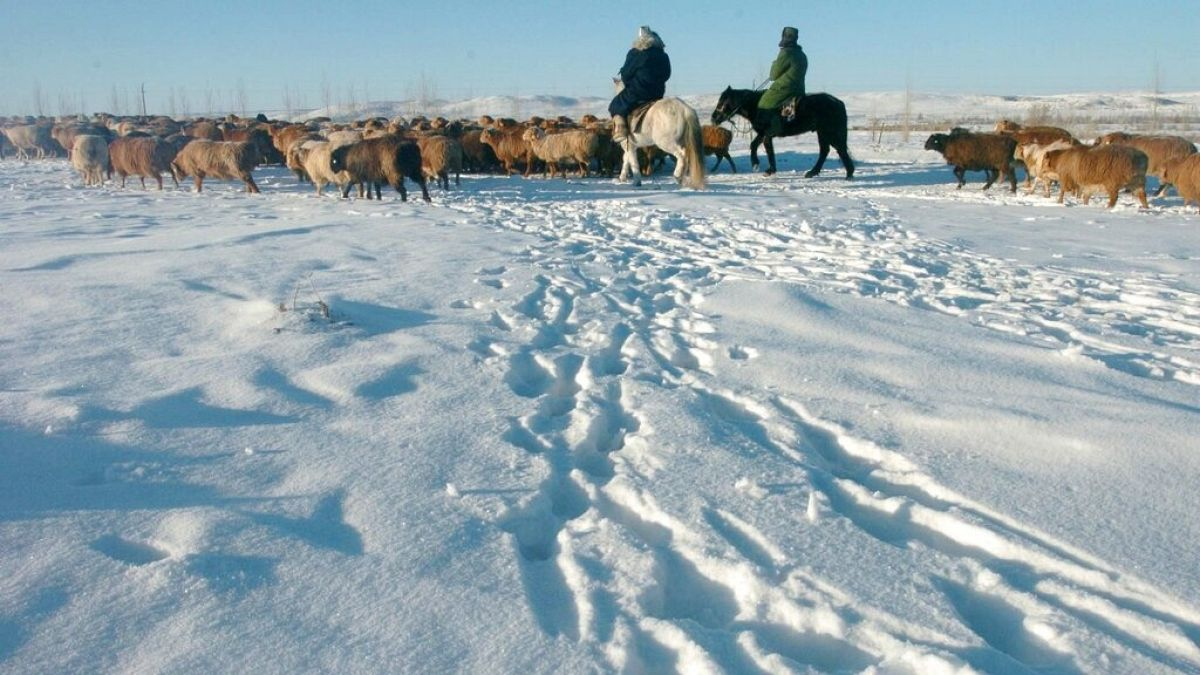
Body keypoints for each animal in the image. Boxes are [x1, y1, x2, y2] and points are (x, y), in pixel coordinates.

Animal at [710, 85, 854, 177]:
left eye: (722, 102)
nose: (713, 118)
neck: (757, 104)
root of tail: (838, 102)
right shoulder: (762, 133)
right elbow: (755, 145)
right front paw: (757, 165)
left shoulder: (767, 134)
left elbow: (766, 149)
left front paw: (765, 168)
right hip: (822, 133)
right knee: (826, 151)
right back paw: (813, 172)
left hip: (830, 132)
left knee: (839, 150)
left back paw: (849, 173)